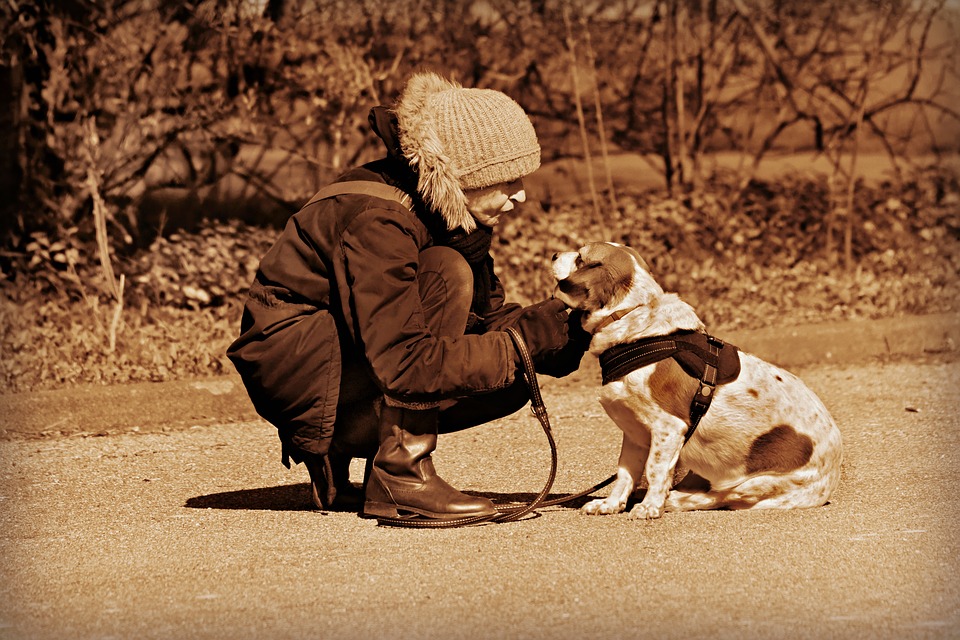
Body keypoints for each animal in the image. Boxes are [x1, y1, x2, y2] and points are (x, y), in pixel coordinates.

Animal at [552, 242, 844, 516]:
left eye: (580, 257)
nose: (554, 255)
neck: (634, 316)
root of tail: (830, 481)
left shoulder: (668, 428)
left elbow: (655, 470)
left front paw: (650, 507)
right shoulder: (634, 432)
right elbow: (625, 473)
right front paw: (611, 504)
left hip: (751, 484)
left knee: (718, 497)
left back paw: (675, 500)